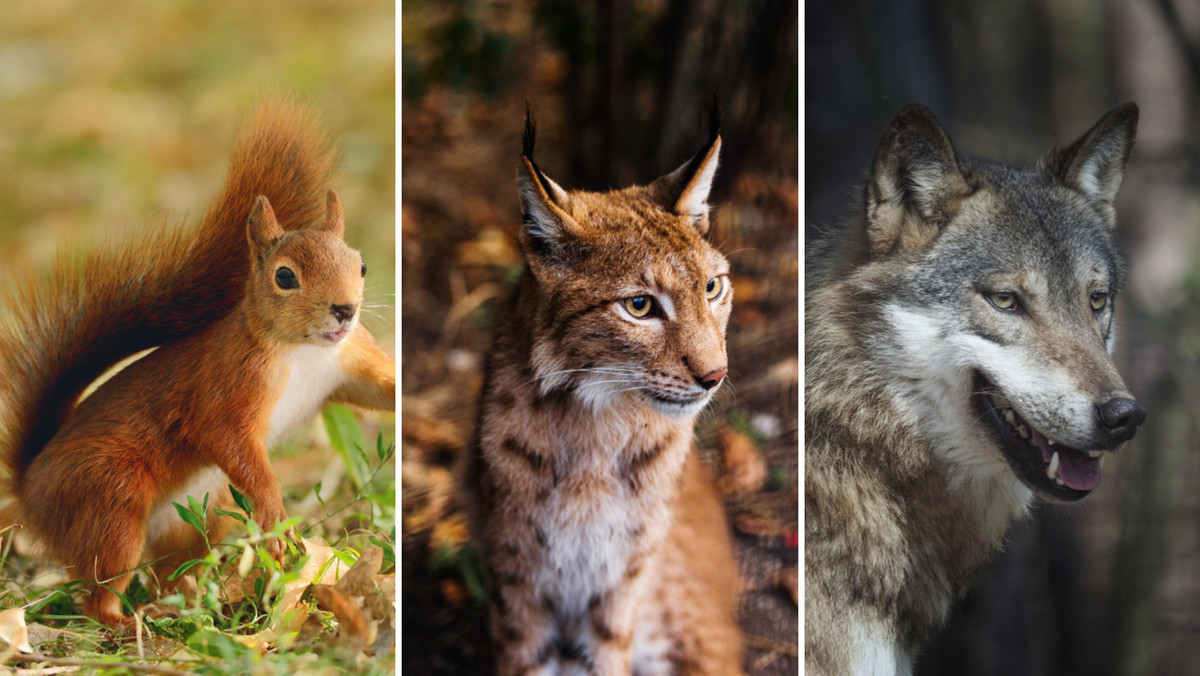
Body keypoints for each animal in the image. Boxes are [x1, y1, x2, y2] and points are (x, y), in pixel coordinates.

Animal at [0, 100, 396, 629]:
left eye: (361, 265)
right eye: (285, 277)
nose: (345, 310)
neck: (305, 351)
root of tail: (30, 487)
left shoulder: (349, 361)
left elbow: (380, 390)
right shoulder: (228, 384)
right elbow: (225, 436)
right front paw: (276, 520)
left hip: (189, 520)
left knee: (172, 572)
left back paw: (195, 604)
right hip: (110, 499)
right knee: (98, 590)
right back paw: (129, 621)